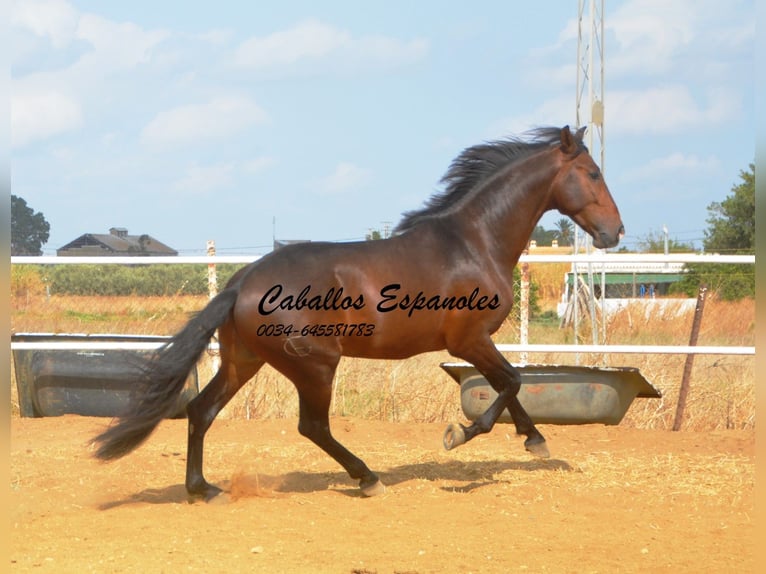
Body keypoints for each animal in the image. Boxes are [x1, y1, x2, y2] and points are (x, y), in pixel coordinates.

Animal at [94, 125, 624, 500]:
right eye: (593, 174)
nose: (615, 232)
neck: (474, 242)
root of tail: (241, 282)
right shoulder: (469, 339)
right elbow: (510, 382)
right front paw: (460, 434)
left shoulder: (475, 343)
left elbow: (510, 385)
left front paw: (535, 439)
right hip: (315, 365)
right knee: (312, 427)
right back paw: (367, 478)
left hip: (245, 360)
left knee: (201, 410)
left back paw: (203, 489)